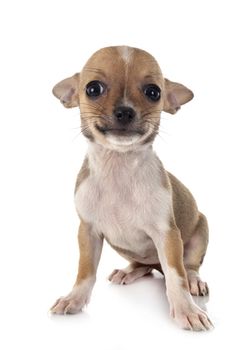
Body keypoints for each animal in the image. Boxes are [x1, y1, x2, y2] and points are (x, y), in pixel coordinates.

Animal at [50, 45, 212, 330]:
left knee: (188, 266)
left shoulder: (167, 236)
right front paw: (75, 299)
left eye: (153, 92)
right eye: (93, 89)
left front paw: (186, 309)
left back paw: (194, 280)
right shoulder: (88, 232)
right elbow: (85, 271)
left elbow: (176, 275)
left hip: (200, 231)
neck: (119, 167)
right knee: (144, 265)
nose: (125, 111)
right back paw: (130, 271)